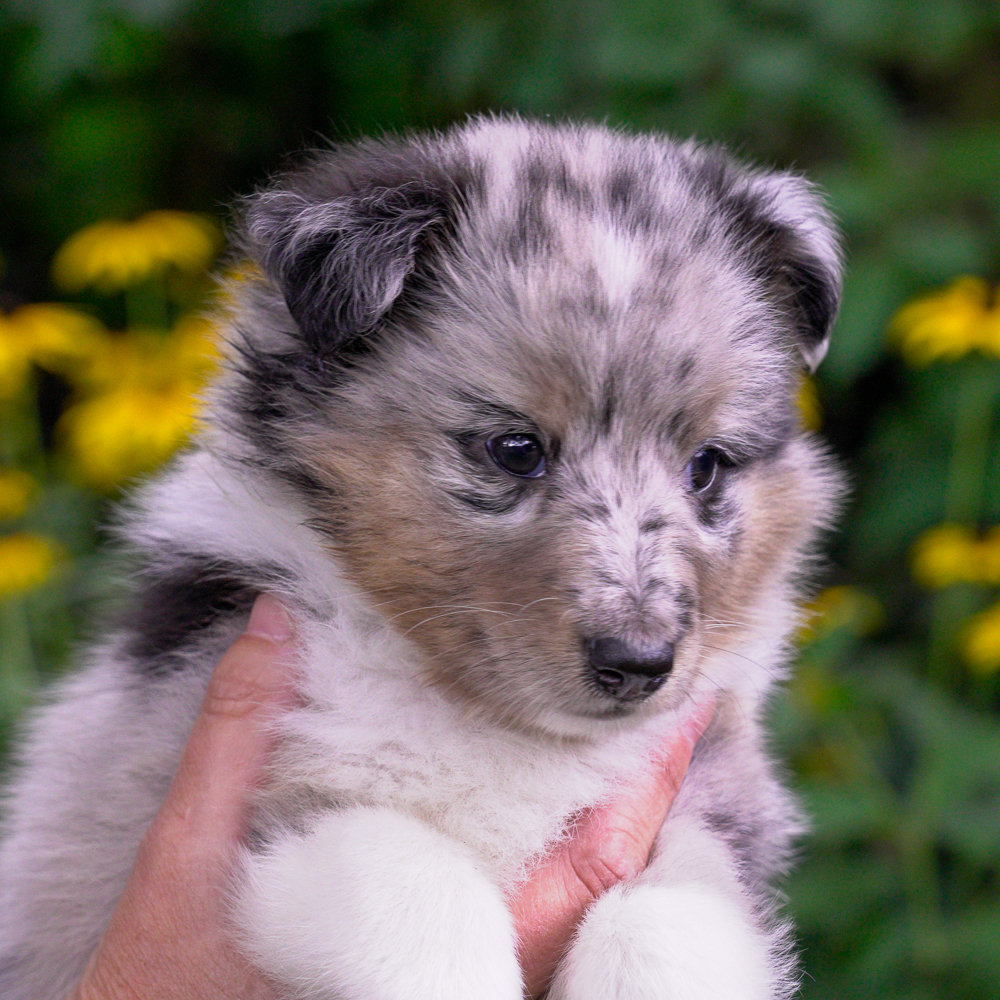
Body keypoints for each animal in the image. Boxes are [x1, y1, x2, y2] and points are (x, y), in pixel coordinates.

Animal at [0, 116, 842, 1000]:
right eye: (514, 449)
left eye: (706, 465)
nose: (638, 664)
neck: (498, 728)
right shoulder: (272, 804)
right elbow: (417, 894)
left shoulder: (711, 792)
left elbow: (674, 911)